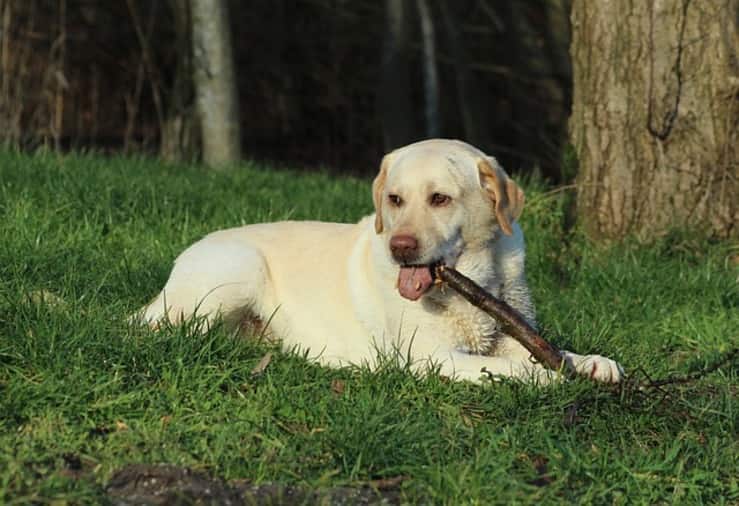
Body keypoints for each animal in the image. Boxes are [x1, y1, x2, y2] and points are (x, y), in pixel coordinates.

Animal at [137, 138, 624, 384]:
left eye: (440, 198)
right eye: (395, 199)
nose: (400, 247)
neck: (473, 281)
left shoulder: (507, 333)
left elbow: (548, 350)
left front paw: (590, 362)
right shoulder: (429, 356)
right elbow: (509, 367)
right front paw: (549, 377)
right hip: (239, 269)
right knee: (164, 330)